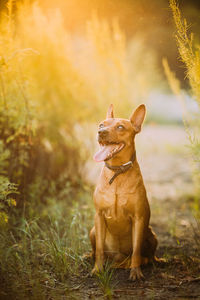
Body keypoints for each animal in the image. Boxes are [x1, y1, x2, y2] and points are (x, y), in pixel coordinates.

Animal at [90, 104, 159, 280]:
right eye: (101, 124)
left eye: (120, 127)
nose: (101, 132)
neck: (117, 172)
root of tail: (120, 260)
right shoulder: (99, 216)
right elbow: (99, 249)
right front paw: (97, 269)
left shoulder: (138, 219)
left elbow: (136, 250)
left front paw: (136, 272)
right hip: (93, 231)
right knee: (96, 250)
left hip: (151, 234)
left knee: (148, 254)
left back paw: (153, 261)